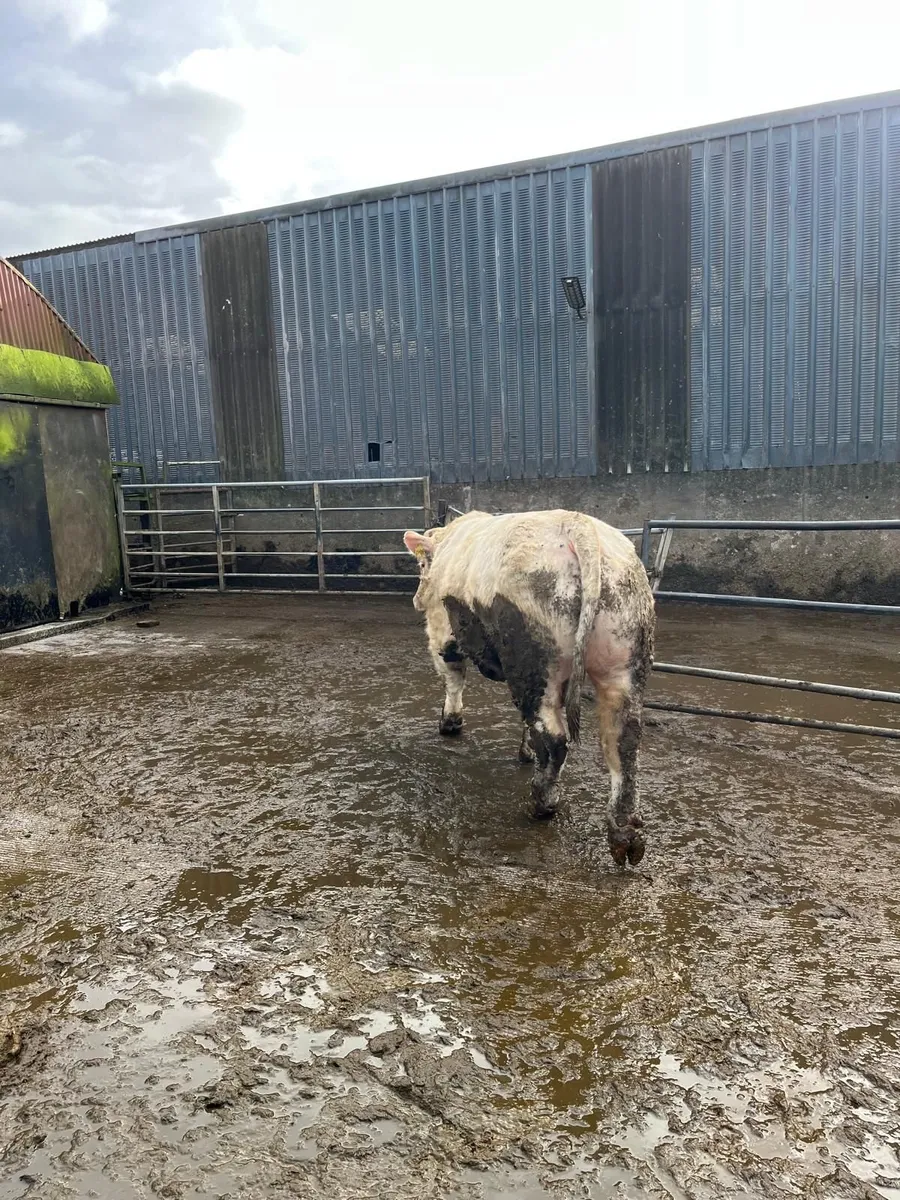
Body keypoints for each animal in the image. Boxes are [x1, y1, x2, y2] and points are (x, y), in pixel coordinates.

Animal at [403, 510, 655, 866]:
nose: (415, 599)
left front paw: (449, 724)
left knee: (555, 736)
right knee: (623, 739)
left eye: (421, 564)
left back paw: (541, 803)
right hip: (625, 652)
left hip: (533, 653)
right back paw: (625, 838)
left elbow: (453, 677)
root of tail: (579, 527)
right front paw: (526, 752)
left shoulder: (442, 632)